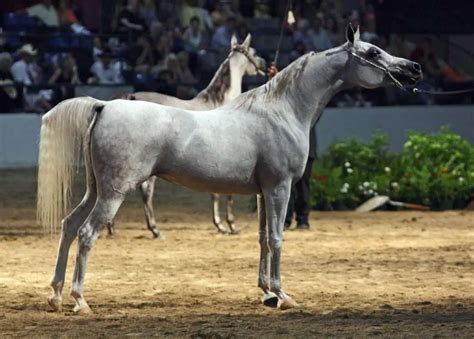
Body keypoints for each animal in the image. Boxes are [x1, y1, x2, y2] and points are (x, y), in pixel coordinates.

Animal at [111, 33, 266, 238]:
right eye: (254, 52)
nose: (264, 64)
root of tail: (130, 98)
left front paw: (220, 224)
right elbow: (225, 193)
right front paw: (228, 225)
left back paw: (112, 228)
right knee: (145, 192)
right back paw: (155, 229)